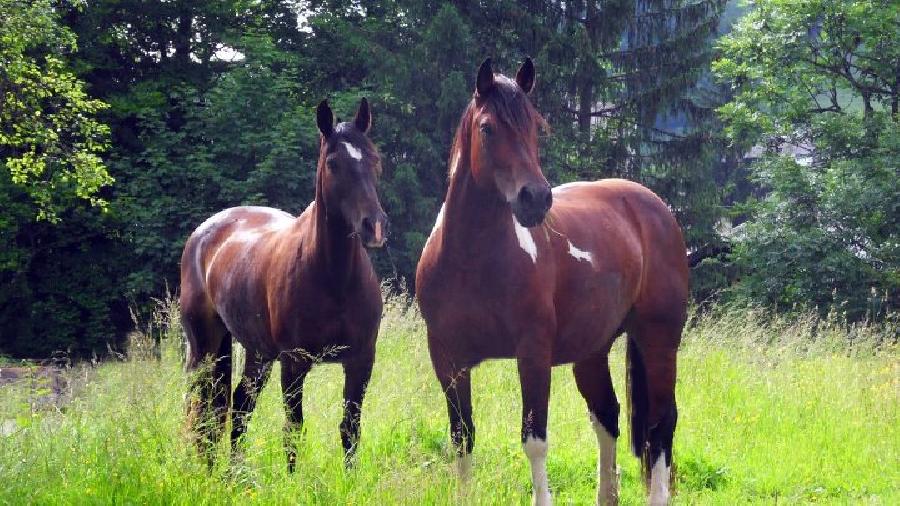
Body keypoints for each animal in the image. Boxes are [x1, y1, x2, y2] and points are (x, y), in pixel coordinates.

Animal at [179, 98, 386, 470]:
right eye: (333, 164)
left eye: (374, 160)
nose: (373, 226)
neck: (334, 278)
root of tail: (204, 233)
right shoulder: (294, 363)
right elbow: (293, 429)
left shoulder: (361, 361)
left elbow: (350, 428)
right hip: (205, 348)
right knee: (203, 411)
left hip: (258, 354)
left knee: (238, 407)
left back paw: (234, 474)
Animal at [416, 57, 688, 504]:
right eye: (487, 127)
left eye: (534, 126)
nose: (536, 199)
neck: (472, 260)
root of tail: (656, 208)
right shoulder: (448, 360)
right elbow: (462, 437)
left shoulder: (533, 354)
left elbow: (534, 440)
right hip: (592, 351)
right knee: (607, 416)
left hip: (659, 339)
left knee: (661, 423)